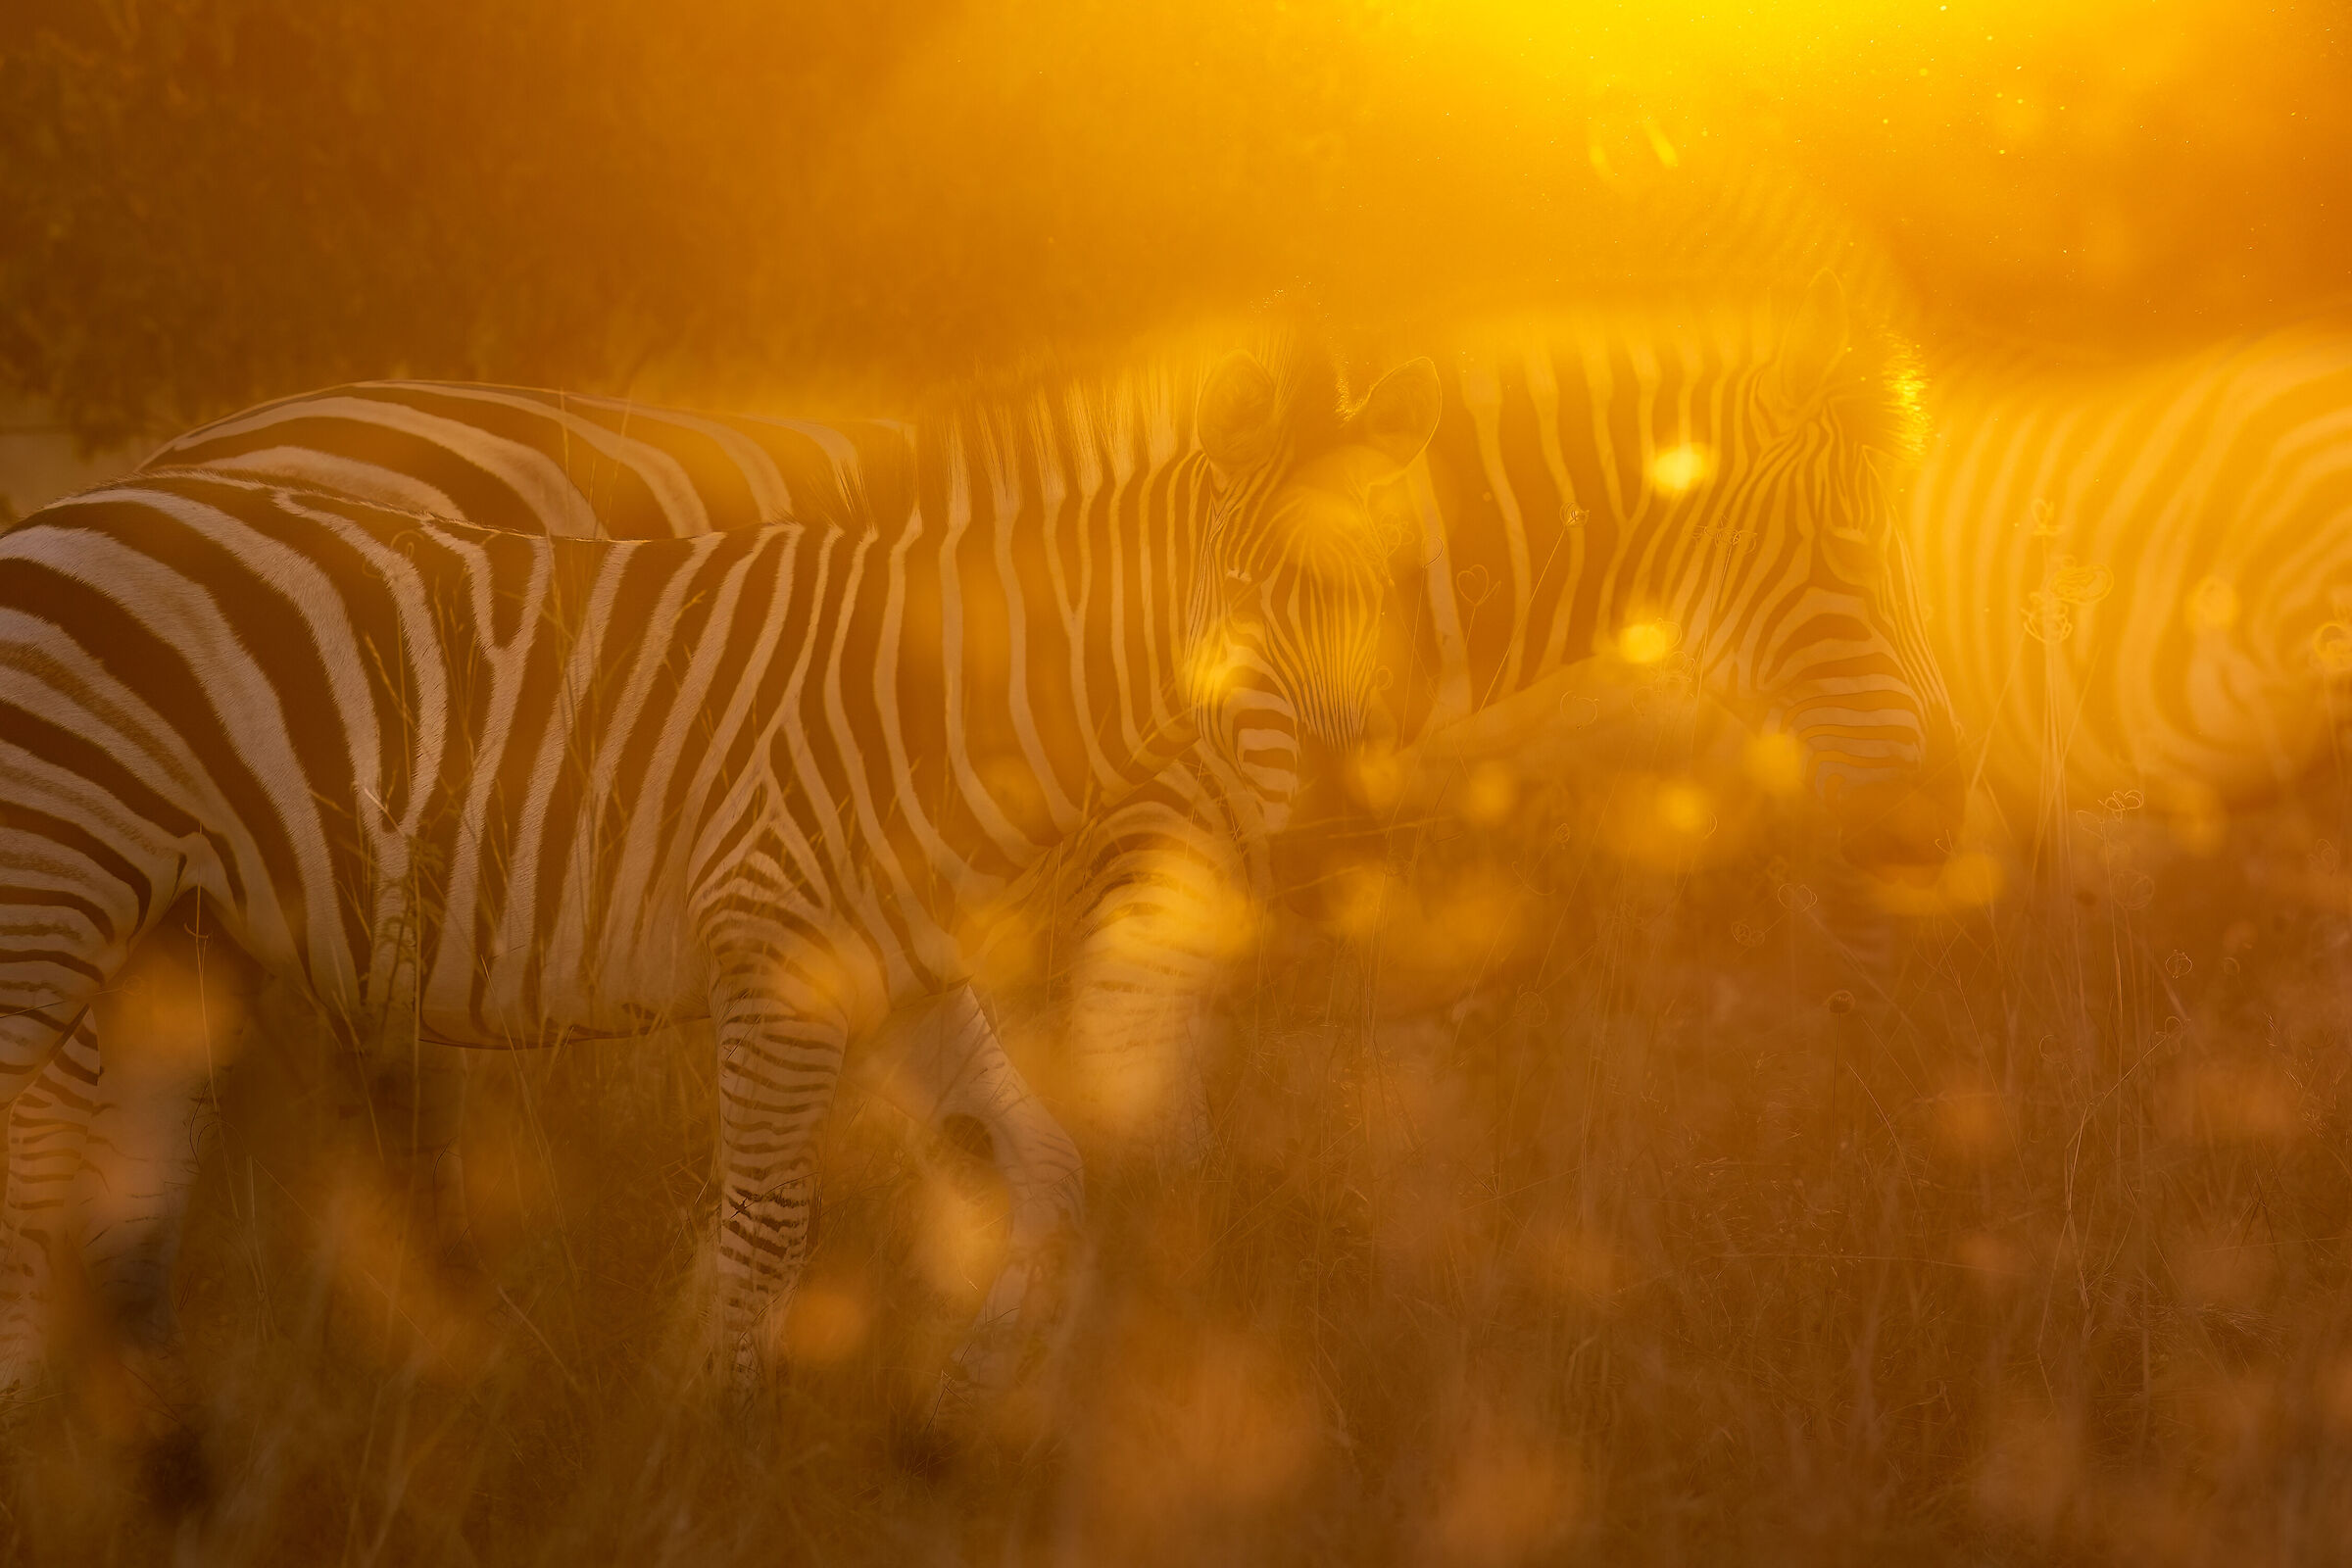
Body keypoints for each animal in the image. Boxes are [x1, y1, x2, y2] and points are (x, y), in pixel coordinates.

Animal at [0, 338, 1444, 1436]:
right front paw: (712, 1441)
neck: (930, 700)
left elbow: (1044, 1170)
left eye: (1405, 594)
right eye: (1246, 602)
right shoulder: (772, 954)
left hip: (177, 928)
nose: (1348, 848)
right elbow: (770, 1222)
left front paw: (969, 1401)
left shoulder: (906, 975)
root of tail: (117, 485)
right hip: (65, 890)